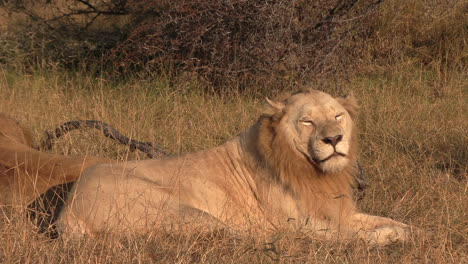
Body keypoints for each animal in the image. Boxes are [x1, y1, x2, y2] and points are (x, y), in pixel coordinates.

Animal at [56, 90, 414, 245]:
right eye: (308, 121)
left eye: (337, 115)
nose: (335, 139)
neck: (311, 172)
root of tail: (68, 207)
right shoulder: (299, 222)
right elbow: (348, 235)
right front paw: (389, 236)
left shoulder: (337, 209)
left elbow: (383, 219)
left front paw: (411, 230)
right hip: (182, 211)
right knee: (244, 234)